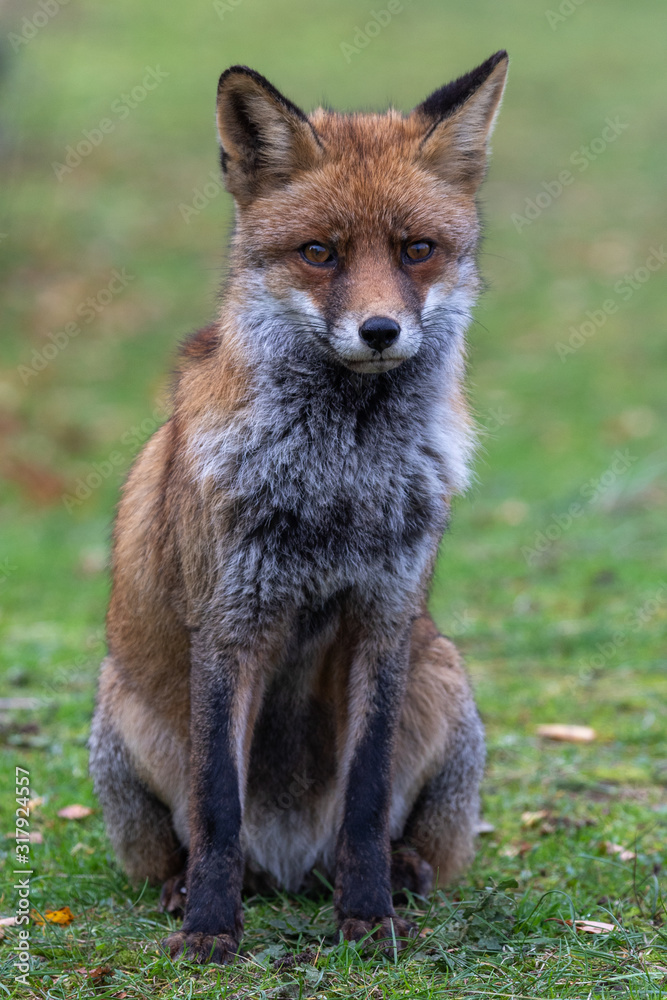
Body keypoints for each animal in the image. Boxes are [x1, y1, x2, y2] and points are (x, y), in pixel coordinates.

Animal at [89, 51, 509, 964]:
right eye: (319, 253)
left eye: (417, 250)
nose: (380, 331)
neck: (337, 481)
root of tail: (289, 865)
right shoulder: (229, 623)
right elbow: (217, 803)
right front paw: (210, 930)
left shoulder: (380, 620)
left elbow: (364, 799)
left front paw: (368, 918)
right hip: (121, 715)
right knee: (183, 842)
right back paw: (188, 889)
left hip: (441, 676)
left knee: (399, 836)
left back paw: (400, 873)